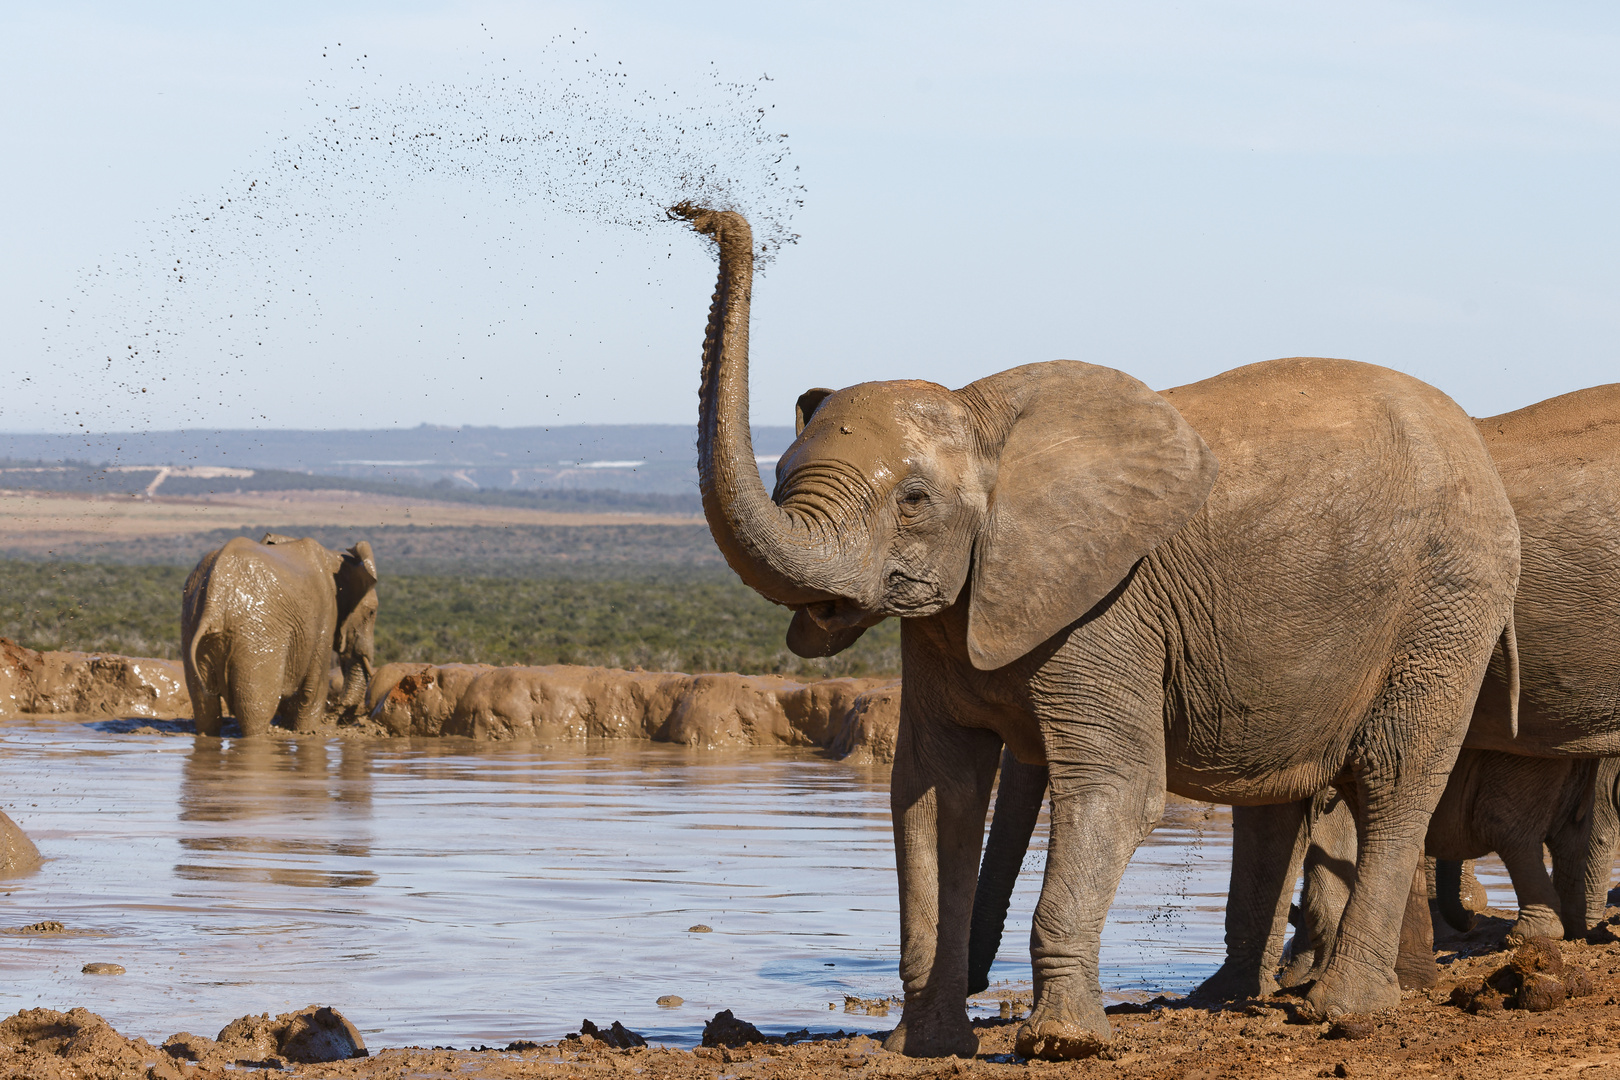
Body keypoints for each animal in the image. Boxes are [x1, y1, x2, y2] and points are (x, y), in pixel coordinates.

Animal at [182, 531, 377, 735]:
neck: (335, 557)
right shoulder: (326, 611)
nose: (339, 713)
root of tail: (214, 599)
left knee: (204, 707)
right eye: (371, 613)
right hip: (256, 634)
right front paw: (307, 732)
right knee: (256, 709)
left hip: (191, 622)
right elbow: (315, 686)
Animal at [670, 204, 1516, 1062]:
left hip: (1448, 598)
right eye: (781, 478)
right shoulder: (951, 621)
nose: (703, 214)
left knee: (1395, 777)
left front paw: (1062, 1044)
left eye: (912, 502)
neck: (985, 417)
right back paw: (1232, 999)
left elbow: (1116, 785)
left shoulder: (1109, 603)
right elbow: (934, 792)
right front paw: (929, 1046)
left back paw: (1343, 1010)